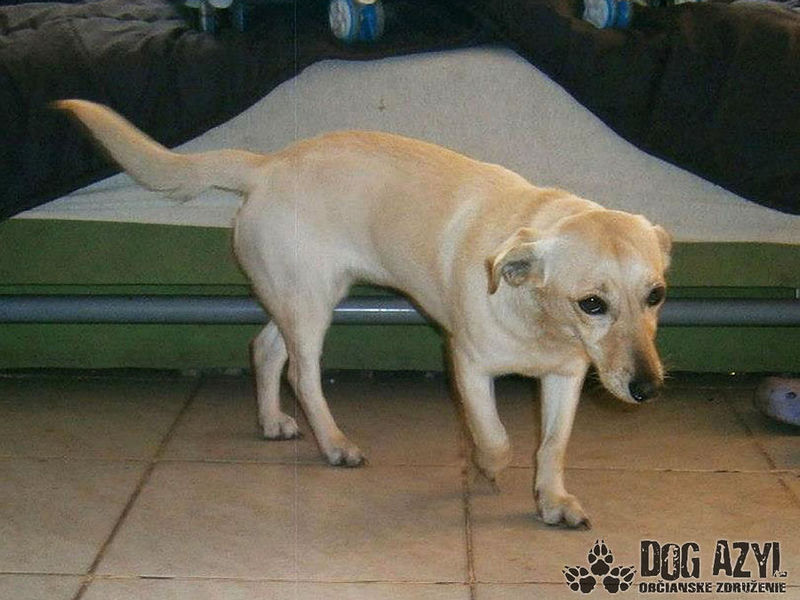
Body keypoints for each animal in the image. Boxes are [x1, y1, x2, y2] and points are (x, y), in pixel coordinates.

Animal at [56, 100, 671, 528]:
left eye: (657, 295)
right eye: (592, 303)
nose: (649, 389)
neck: (540, 319)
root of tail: (267, 165)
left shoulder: (566, 377)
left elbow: (553, 446)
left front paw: (553, 501)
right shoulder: (468, 365)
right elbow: (495, 434)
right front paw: (489, 468)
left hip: (299, 296)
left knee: (264, 349)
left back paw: (273, 422)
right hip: (311, 306)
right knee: (303, 375)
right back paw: (334, 444)